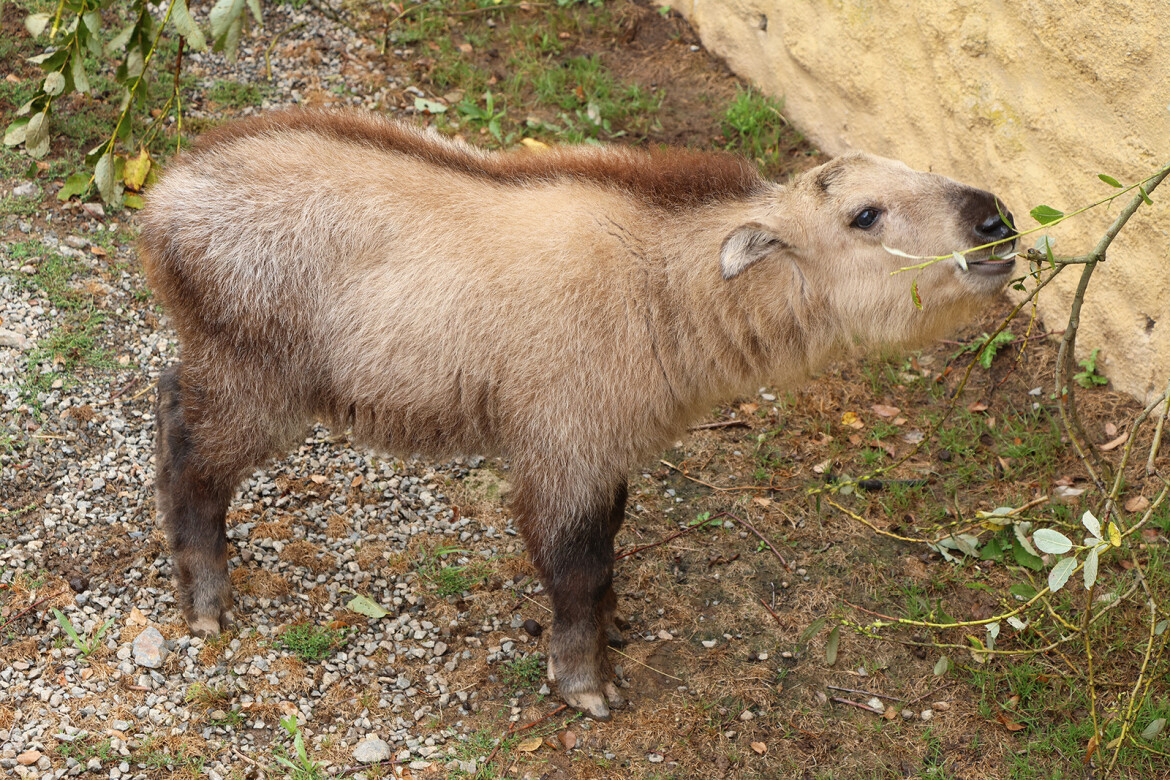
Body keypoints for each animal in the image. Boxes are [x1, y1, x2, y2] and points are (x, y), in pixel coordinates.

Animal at [139, 108, 1015, 720]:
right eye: (865, 215)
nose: (996, 222)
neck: (662, 290)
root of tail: (163, 199)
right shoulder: (565, 450)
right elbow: (575, 567)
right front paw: (585, 682)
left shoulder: (607, 452)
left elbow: (609, 550)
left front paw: (614, 624)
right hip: (261, 388)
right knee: (192, 457)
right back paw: (206, 600)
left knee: (168, 397)